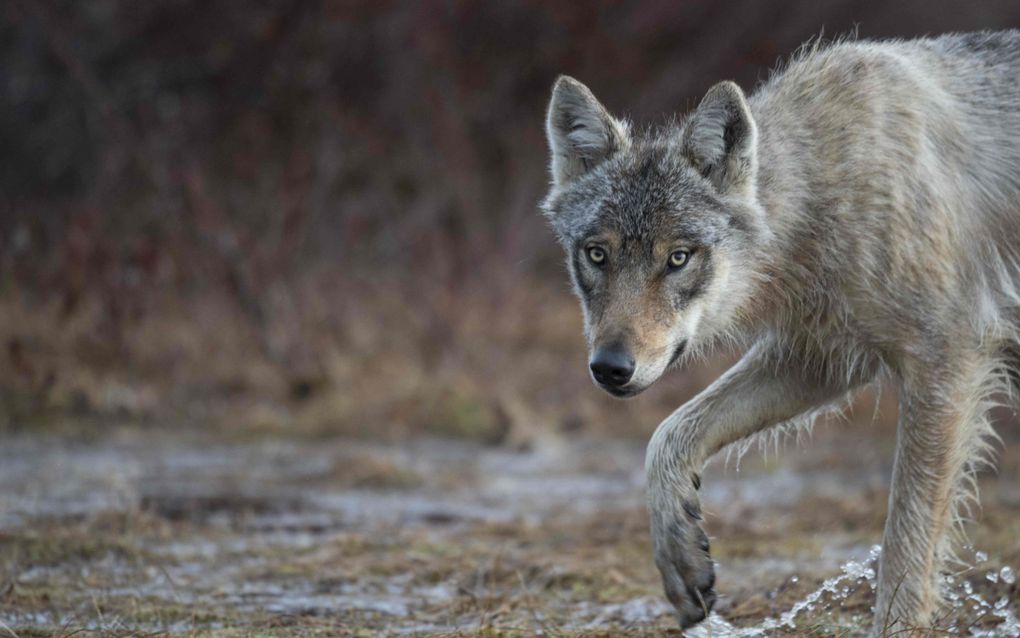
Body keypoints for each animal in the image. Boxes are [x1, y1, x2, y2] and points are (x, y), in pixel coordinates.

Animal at [542, 31, 1020, 636]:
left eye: (678, 258)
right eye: (596, 254)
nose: (609, 367)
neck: (826, 191)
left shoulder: (946, 361)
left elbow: (905, 545)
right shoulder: (820, 358)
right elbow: (667, 437)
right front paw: (682, 561)